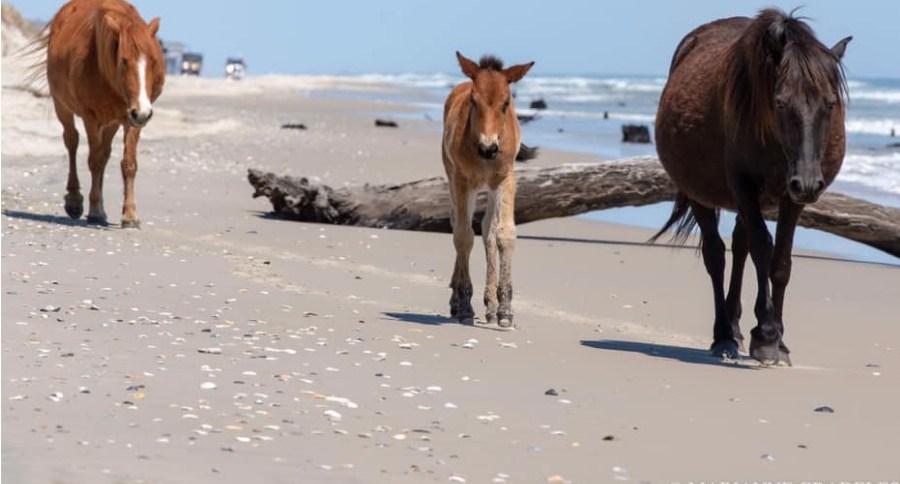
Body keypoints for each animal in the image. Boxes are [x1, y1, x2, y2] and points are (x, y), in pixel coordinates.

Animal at [42, 0, 165, 228]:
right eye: (124, 61)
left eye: (153, 61)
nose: (143, 112)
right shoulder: (91, 117)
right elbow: (95, 161)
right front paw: (95, 210)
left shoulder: (130, 121)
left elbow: (128, 164)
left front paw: (130, 215)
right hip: (62, 106)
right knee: (72, 141)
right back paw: (75, 201)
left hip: (112, 122)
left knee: (105, 152)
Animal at [442, 52, 536, 328]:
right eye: (474, 101)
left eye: (506, 102)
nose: (488, 148)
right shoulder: (462, 180)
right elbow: (463, 236)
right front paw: (464, 305)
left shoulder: (505, 179)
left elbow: (504, 233)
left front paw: (504, 309)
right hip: (453, 178)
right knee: (458, 224)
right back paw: (458, 300)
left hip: (491, 188)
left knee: (487, 229)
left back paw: (491, 305)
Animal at [652, 9, 851, 365]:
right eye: (781, 103)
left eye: (829, 104)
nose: (808, 182)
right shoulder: (744, 186)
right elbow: (762, 248)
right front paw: (767, 335)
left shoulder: (791, 198)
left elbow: (781, 262)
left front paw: (779, 342)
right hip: (701, 194)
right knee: (716, 255)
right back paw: (723, 336)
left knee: (739, 244)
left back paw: (735, 327)